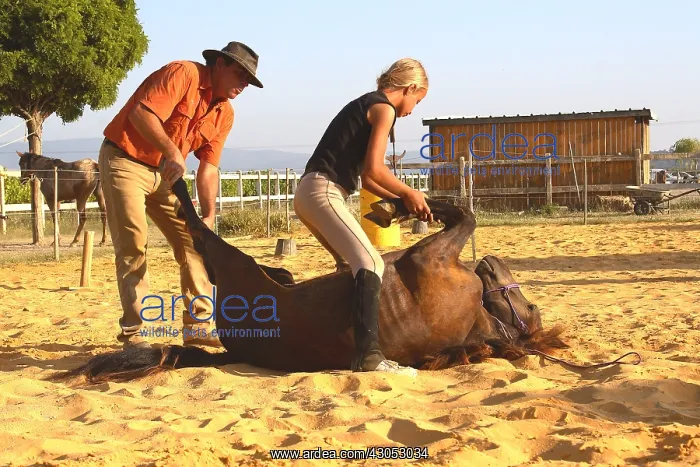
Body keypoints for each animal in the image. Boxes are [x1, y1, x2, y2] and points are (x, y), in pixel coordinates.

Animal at [51, 177, 572, 384]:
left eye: (528, 309)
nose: (494, 263)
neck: (477, 319)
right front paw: (396, 205)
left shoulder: (434, 253)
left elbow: (464, 213)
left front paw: (398, 205)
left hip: (235, 266)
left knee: (201, 234)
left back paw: (179, 182)